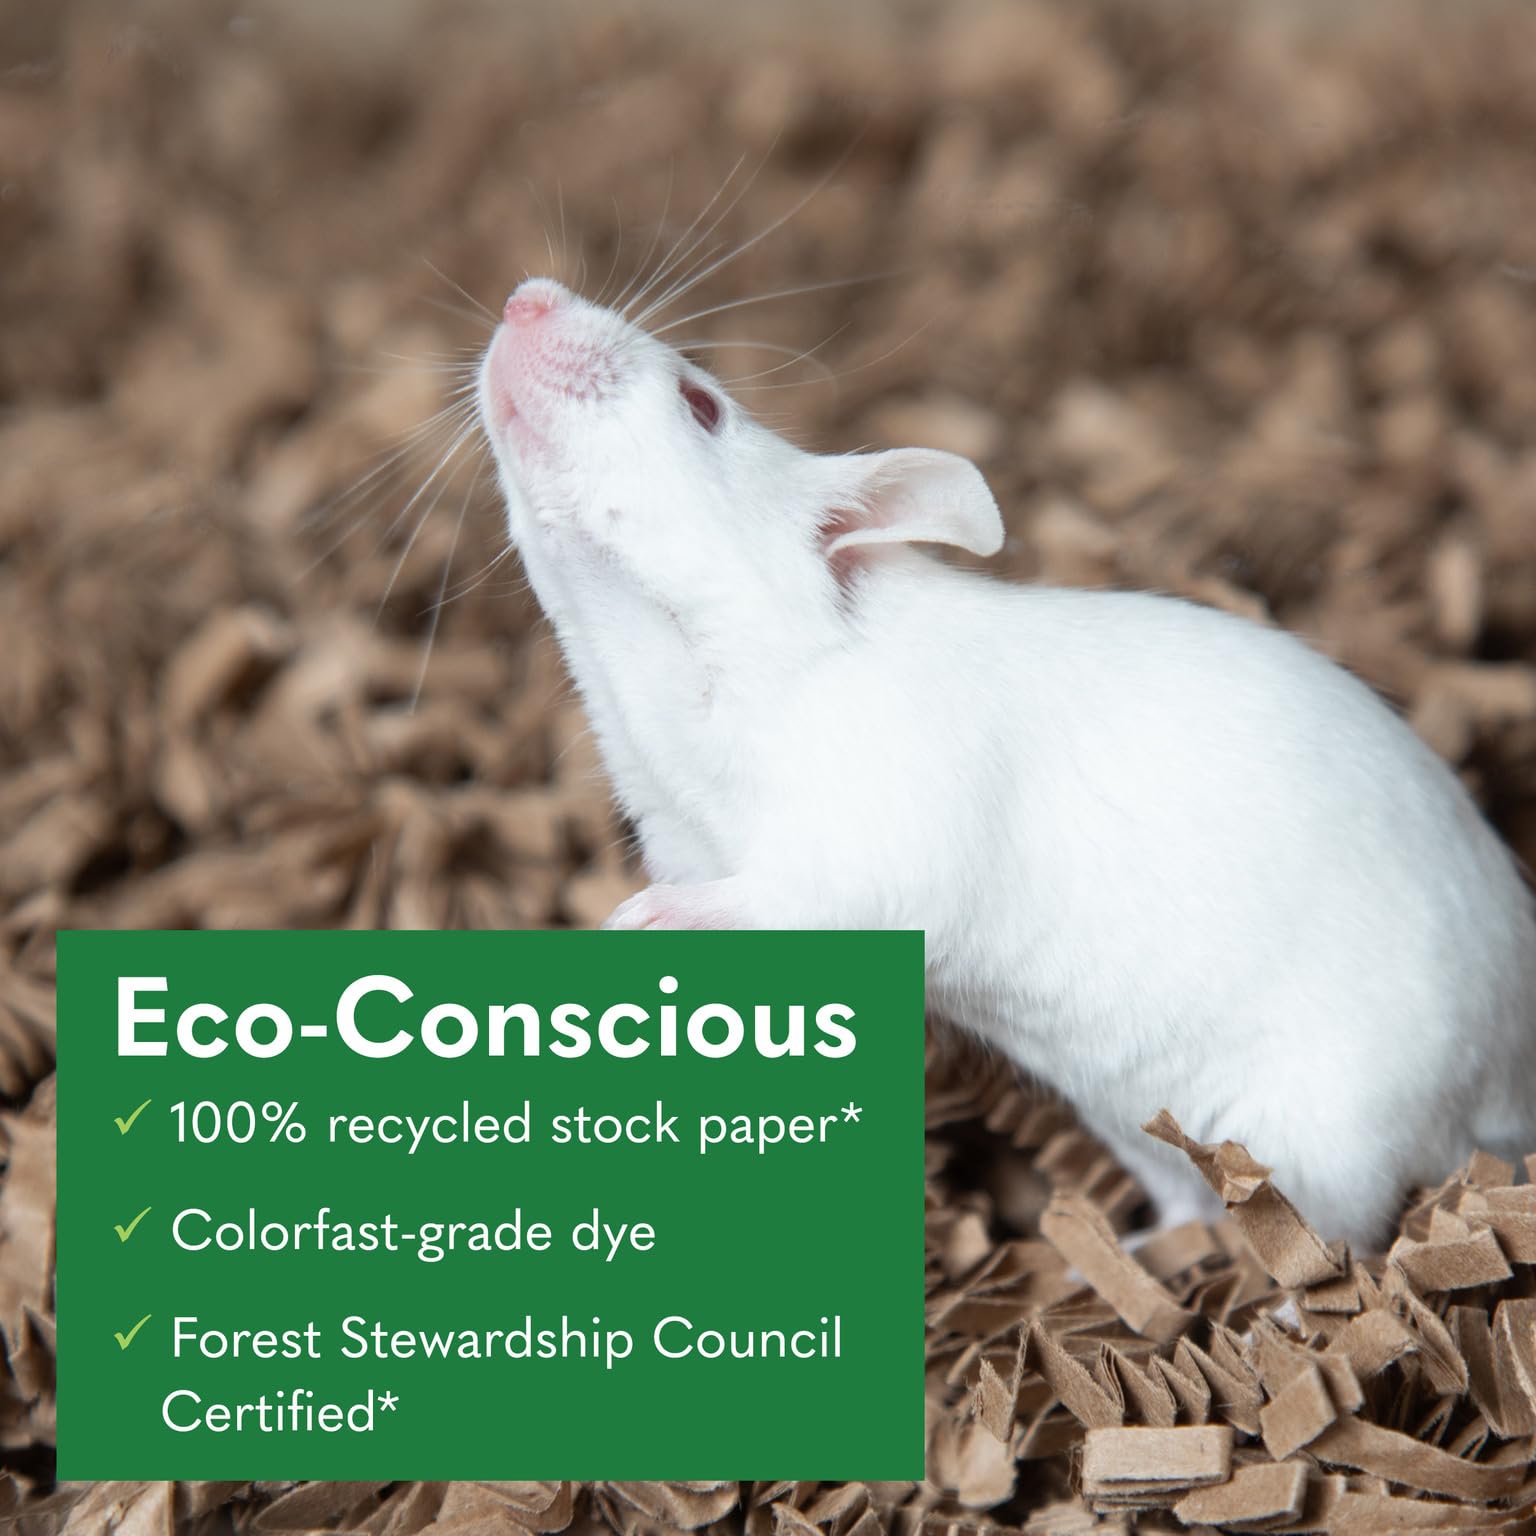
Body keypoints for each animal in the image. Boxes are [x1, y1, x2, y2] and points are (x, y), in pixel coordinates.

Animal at [475, 275, 1536, 1250]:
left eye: (702, 404)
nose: (526, 297)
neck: (662, 685)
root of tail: (1505, 1088)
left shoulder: (883, 820)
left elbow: (804, 898)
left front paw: (650, 920)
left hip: (1337, 1146)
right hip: (1149, 1133)